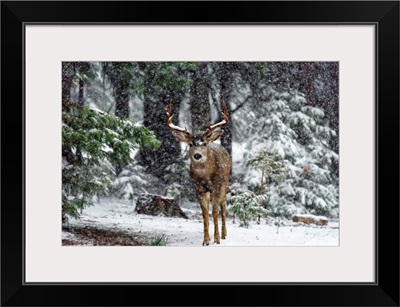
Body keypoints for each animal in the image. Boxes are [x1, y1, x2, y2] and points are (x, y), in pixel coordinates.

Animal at [164, 100, 231, 247]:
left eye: (204, 143)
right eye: (190, 144)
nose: (197, 155)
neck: (205, 176)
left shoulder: (216, 187)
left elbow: (215, 212)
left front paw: (217, 238)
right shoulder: (198, 188)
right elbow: (205, 214)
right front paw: (206, 240)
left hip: (225, 183)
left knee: (223, 207)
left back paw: (224, 234)